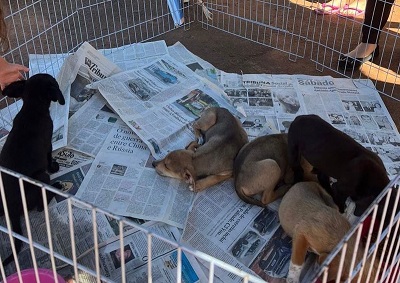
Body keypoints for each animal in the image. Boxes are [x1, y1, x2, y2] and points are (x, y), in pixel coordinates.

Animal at [0, 72, 65, 266]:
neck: (32, 108)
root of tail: (11, 209)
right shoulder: (48, 144)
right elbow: (49, 157)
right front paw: (54, 167)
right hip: (42, 178)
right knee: (40, 206)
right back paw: (56, 187)